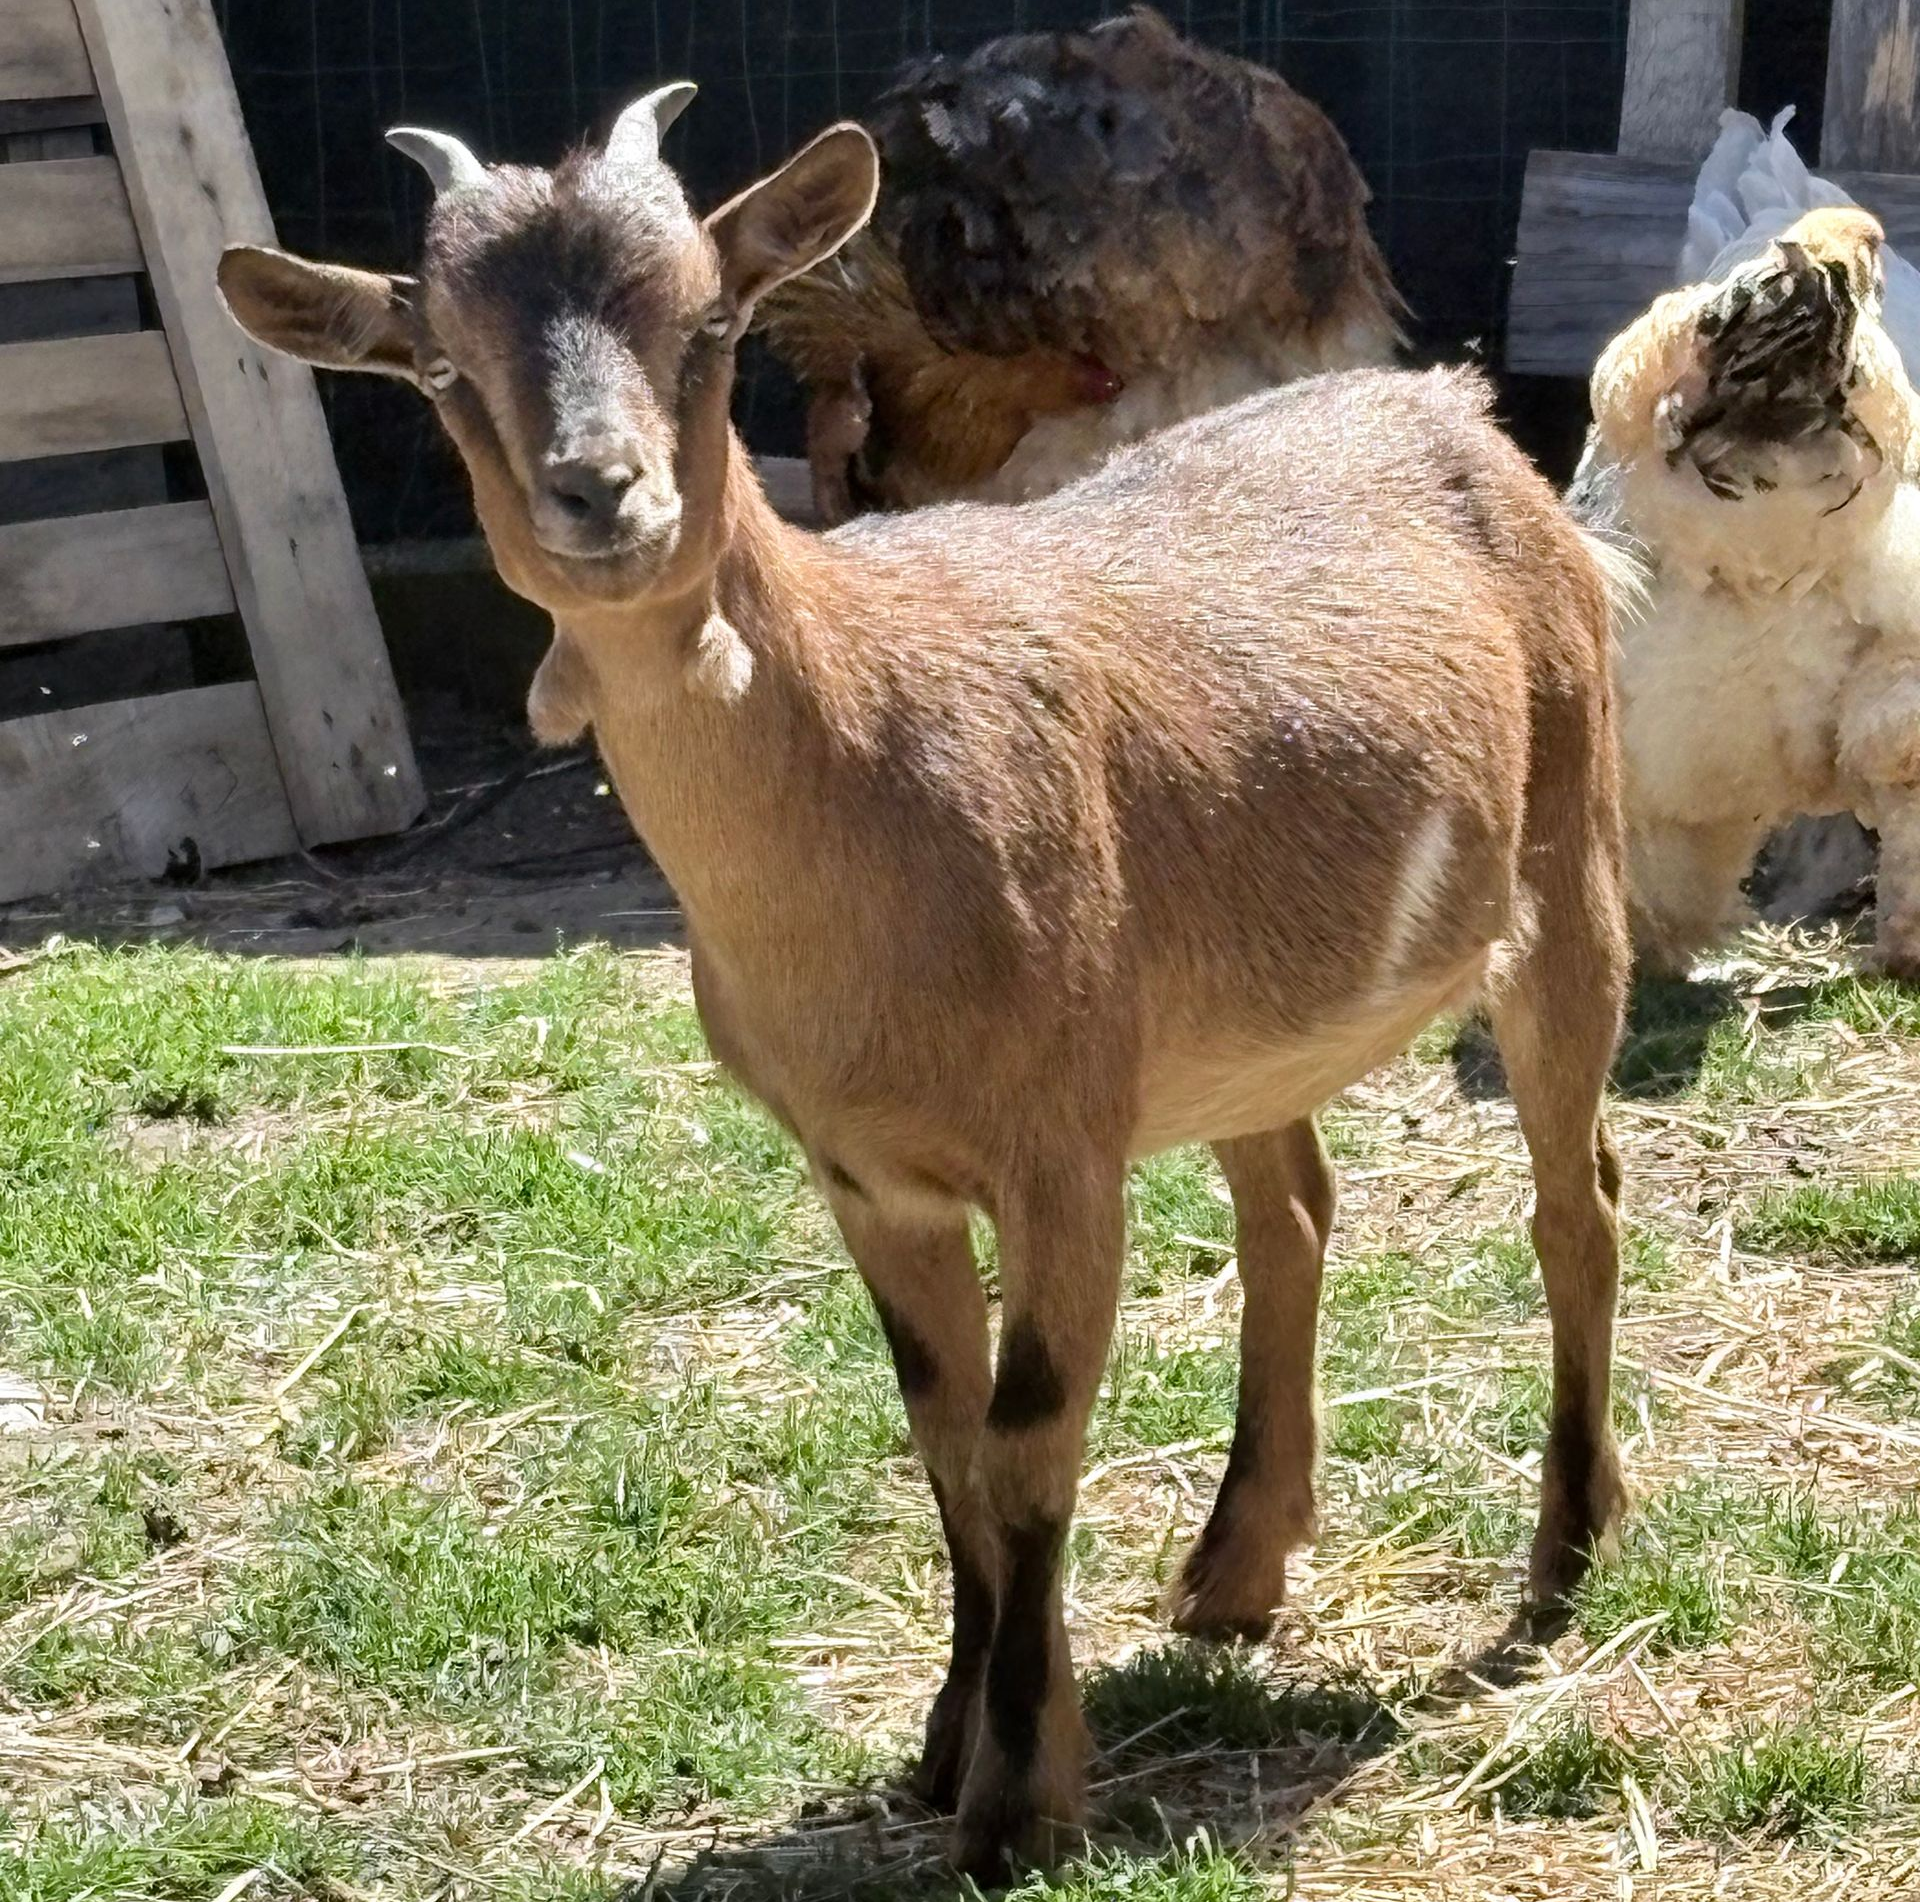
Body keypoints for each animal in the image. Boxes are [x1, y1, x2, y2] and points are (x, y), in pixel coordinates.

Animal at [218, 90, 1634, 1879]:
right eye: (440, 366)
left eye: (709, 325)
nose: (600, 494)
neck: (869, 773)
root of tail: (1456, 407)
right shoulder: (866, 1172)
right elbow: (943, 1433)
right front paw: (948, 1738)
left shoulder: (1060, 1147)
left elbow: (1029, 1437)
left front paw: (1020, 1798)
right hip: (1235, 1029)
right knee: (1294, 1208)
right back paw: (1236, 1570)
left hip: (1570, 865)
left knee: (1575, 1199)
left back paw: (1568, 1549)